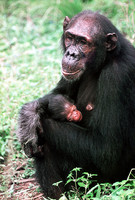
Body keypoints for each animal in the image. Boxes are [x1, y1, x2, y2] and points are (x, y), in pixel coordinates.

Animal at [16, 10, 135, 198]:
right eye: (70, 37)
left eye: (83, 42)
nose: (71, 54)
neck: (105, 60)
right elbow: (58, 94)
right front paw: (29, 114)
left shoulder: (117, 77)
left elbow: (106, 150)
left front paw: (37, 123)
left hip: (99, 182)